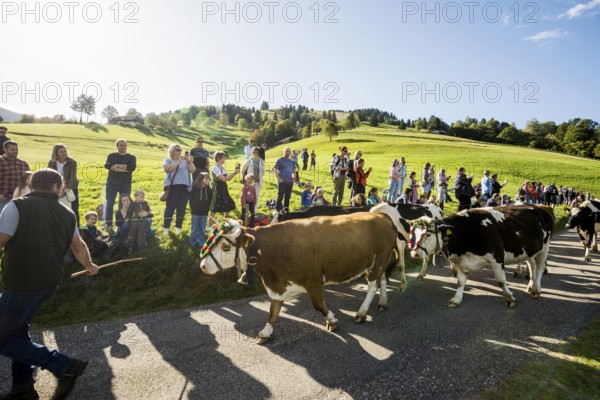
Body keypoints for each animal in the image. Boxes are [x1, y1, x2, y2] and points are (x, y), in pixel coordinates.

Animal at [199, 212, 400, 344]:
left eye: (225, 246)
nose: (202, 266)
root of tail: (382, 215)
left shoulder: (313, 281)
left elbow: (318, 305)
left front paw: (332, 321)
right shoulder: (278, 285)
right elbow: (273, 311)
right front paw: (265, 333)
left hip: (378, 260)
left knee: (373, 285)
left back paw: (361, 313)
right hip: (382, 261)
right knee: (382, 280)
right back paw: (382, 302)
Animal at [410, 205, 556, 308]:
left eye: (428, 234)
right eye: (414, 234)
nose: (414, 253)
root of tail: (541, 207)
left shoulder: (497, 257)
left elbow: (501, 281)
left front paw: (509, 298)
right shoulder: (460, 261)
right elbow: (460, 282)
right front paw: (456, 299)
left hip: (545, 247)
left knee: (540, 267)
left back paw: (536, 290)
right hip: (530, 250)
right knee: (532, 265)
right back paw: (531, 285)